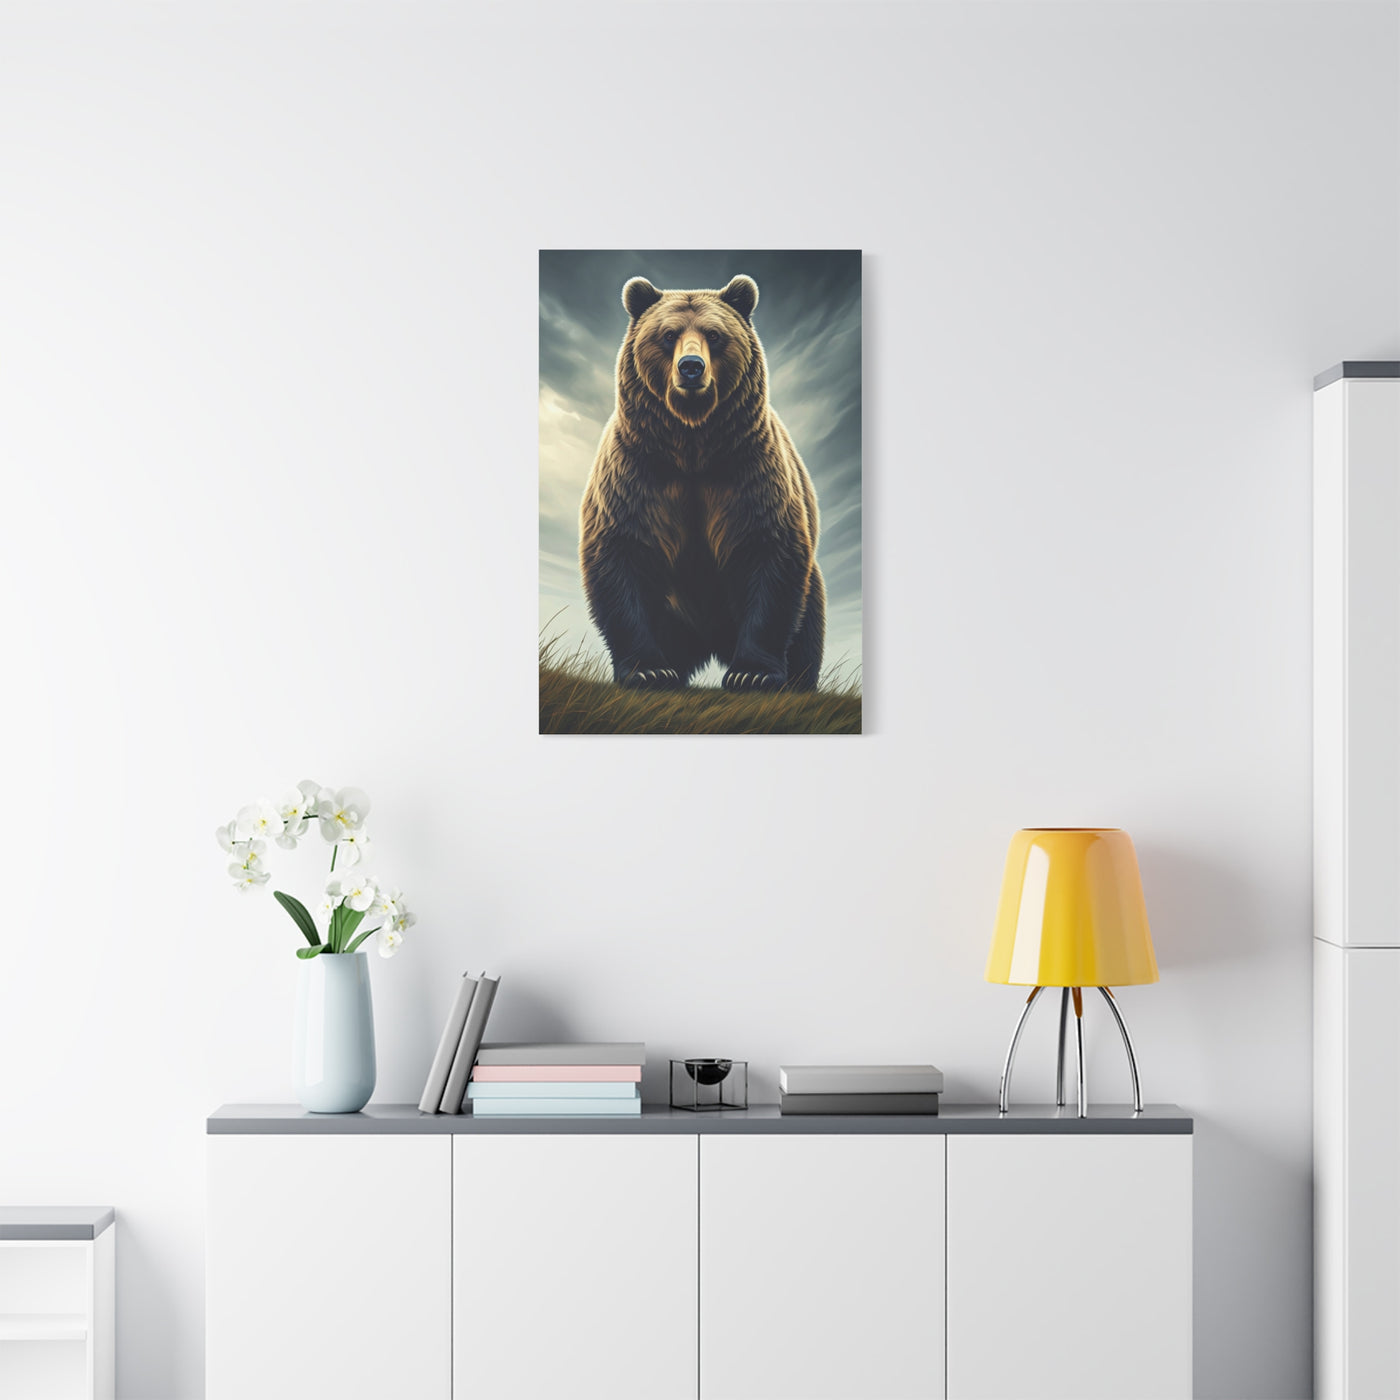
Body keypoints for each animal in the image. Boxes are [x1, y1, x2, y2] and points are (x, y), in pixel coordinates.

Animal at [579, 274, 826, 693]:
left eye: (714, 334)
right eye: (668, 335)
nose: (691, 367)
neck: (692, 445)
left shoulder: (752, 474)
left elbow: (770, 556)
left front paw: (753, 673)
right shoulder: (636, 474)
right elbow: (620, 555)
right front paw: (648, 671)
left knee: (808, 619)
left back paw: (799, 679)